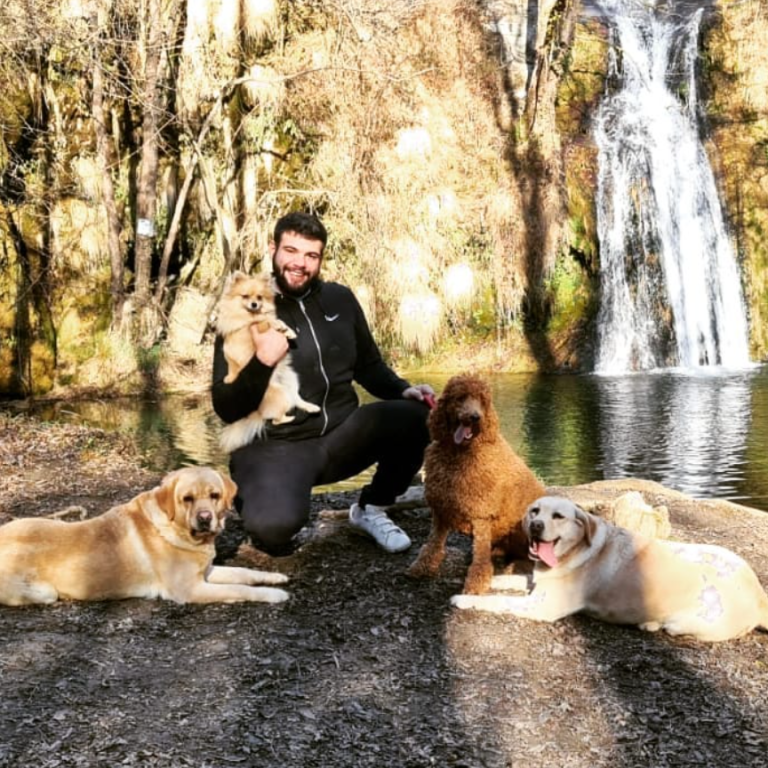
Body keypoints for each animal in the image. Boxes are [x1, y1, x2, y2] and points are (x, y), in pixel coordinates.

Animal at [0, 467, 289, 606]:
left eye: (214, 495)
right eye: (187, 499)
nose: (206, 518)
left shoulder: (205, 573)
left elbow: (243, 573)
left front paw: (274, 577)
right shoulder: (190, 589)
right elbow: (239, 588)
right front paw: (274, 595)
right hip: (44, 592)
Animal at [215, 270, 320, 452]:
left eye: (259, 297)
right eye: (245, 296)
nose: (255, 304)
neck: (248, 314)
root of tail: (257, 412)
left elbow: (272, 319)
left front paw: (288, 331)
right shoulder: (250, 328)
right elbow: (264, 320)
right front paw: (277, 325)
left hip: (292, 380)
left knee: (296, 400)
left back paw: (311, 407)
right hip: (280, 395)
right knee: (276, 420)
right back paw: (290, 418)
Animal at [408, 373, 546, 594]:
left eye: (482, 401)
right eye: (460, 397)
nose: (475, 417)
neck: (461, 452)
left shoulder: (482, 515)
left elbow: (480, 559)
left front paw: (475, 583)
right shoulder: (440, 510)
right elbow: (433, 544)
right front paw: (422, 566)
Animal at [452, 496, 768, 642]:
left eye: (558, 516)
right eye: (534, 511)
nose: (536, 526)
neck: (573, 552)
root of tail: (758, 591)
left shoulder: (541, 606)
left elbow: (498, 601)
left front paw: (464, 598)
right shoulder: (537, 581)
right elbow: (516, 579)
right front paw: (487, 582)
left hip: (701, 617)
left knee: (677, 626)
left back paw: (652, 624)